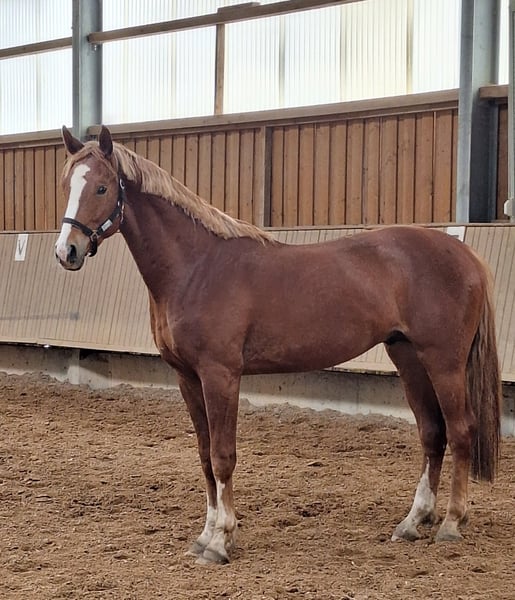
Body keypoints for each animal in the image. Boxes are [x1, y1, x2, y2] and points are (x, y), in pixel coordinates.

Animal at [55, 125, 501, 565]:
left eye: (101, 187)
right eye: (67, 184)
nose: (66, 251)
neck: (197, 267)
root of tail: (467, 255)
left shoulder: (221, 375)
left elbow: (223, 455)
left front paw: (221, 542)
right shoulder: (187, 377)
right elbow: (203, 455)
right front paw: (205, 536)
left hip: (444, 362)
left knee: (461, 429)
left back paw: (451, 524)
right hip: (408, 358)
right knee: (432, 433)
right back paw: (413, 521)